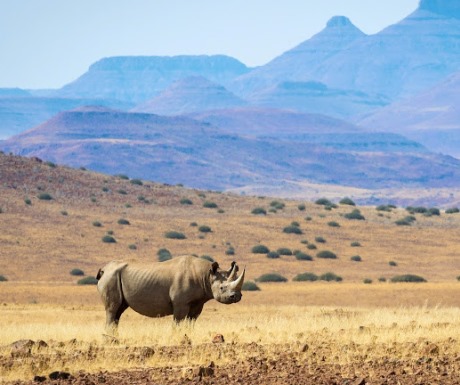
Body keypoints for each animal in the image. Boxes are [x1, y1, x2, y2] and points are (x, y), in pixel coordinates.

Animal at [96, 255, 244, 330]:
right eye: (222, 288)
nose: (236, 297)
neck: (207, 276)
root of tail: (104, 269)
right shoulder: (180, 303)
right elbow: (177, 322)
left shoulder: (198, 302)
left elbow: (191, 322)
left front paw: (188, 337)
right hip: (111, 277)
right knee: (112, 309)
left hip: (115, 277)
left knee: (118, 311)